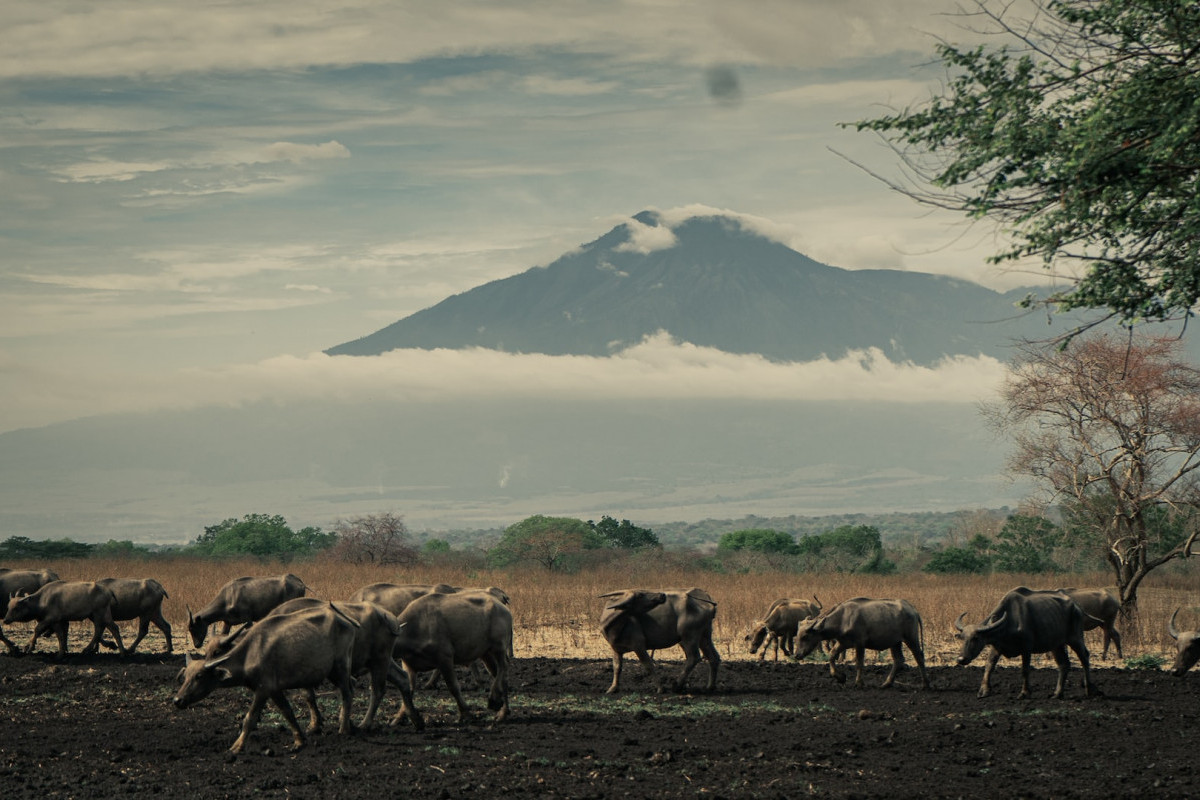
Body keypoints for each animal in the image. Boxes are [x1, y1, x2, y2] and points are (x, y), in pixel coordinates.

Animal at [171, 604, 355, 753]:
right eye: (186, 676)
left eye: (199, 676)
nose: (178, 700)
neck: (250, 654)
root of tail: (344, 619)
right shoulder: (274, 690)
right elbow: (288, 712)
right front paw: (299, 741)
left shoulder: (263, 690)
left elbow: (250, 718)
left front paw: (236, 746)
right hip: (333, 672)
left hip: (340, 667)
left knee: (346, 694)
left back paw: (344, 729)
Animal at [388, 587, 511, 724]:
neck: (415, 628)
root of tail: (502, 606)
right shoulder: (408, 664)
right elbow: (407, 689)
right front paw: (398, 718)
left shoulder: (445, 659)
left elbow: (454, 687)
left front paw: (465, 714)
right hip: (486, 653)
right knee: (497, 673)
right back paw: (503, 711)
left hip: (498, 647)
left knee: (504, 669)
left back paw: (495, 701)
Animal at [792, 597, 931, 690]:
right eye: (797, 637)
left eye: (805, 637)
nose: (797, 655)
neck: (843, 618)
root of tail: (913, 609)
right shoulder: (843, 643)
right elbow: (831, 656)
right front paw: (840, 677)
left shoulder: (859, 644)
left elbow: (859, 663)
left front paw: (859, 683)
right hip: (895, 642)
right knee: (898, 660)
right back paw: (886, 684)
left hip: (911, 638)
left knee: (919, 657)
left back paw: (926, 684)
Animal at [955, 582, 1099, 700]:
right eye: (963, 638)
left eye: (976, 638)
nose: (961, 659)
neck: (1009, 621)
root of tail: (1077, 606)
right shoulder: (997, 647)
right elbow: (989, 666)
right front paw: (984, 691)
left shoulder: (1026, 648)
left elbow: (1025, 670)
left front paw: (1024, 693)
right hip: (1056, 644)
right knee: (1064, 664)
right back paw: (1057, 694)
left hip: (1075, 638)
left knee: (1084, 656)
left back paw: (1090, 690)